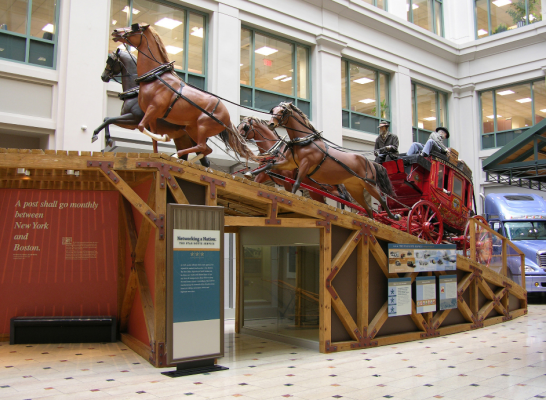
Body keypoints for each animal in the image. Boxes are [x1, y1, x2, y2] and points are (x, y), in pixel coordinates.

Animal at [111, 24, 258, 162]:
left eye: (135, 27)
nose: (115, 31)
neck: (155, 78)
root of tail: (227, 118)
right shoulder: (151, 116)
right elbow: (152, 139)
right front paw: (157, 152)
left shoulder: (153, 109)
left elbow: (141, 126)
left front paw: (165, 137)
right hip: (192, 130)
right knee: (206, 150)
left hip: (203, 127)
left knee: (201, 147)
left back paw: (177, 155)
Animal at [253, 100, 398, 219]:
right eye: (273, 110)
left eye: (282, 111)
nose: (271, 124)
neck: (305, 141)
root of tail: (370, 162)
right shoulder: (289, 163)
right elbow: (268, 166)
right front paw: (251, 172)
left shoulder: (305, 165)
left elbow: (296, 184)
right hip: (354, 188)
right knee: (367, 208)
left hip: (368, 184)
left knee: (381, 200)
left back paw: (394, 216)